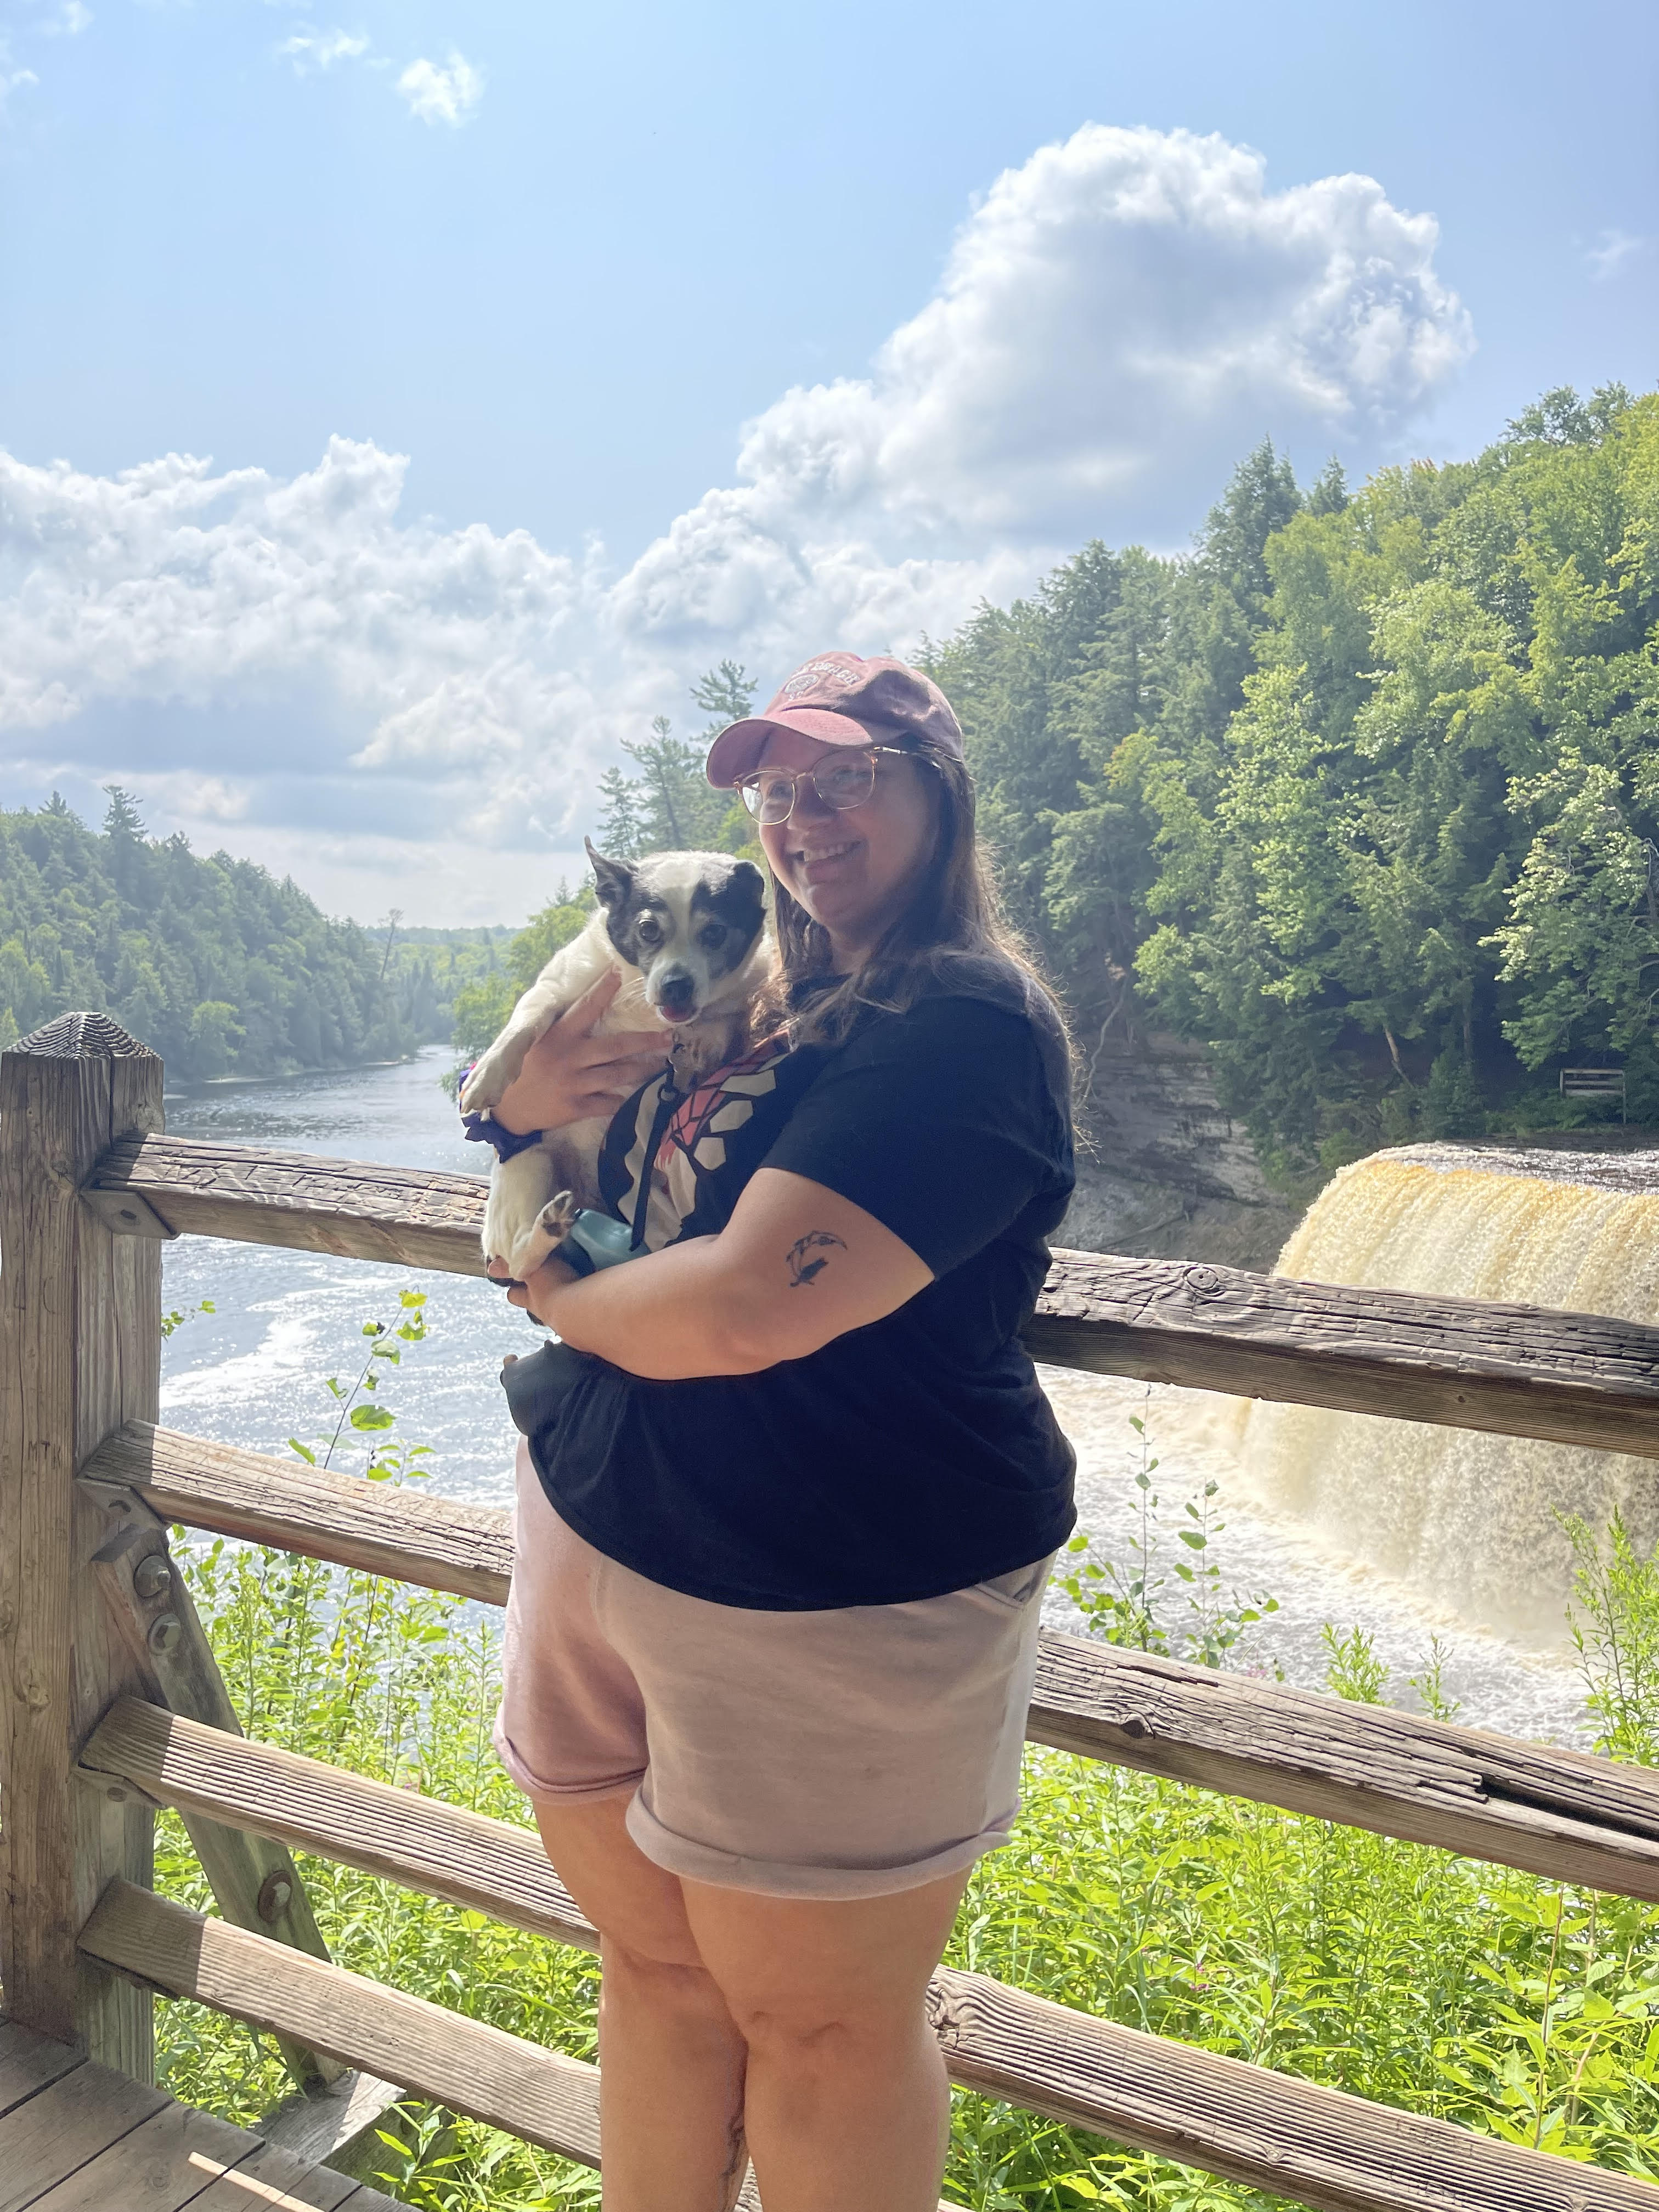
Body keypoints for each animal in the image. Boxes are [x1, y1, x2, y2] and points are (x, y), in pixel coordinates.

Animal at [462, 832, 774, 1283]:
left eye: (715, 933)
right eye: (648, 930)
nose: (677, 985)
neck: (641, 1006)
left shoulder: (735, 1004)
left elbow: (720, 1024)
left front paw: (700, 1041)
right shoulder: (558, 985)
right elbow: (528, 1019)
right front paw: (487, 1076)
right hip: (529, 1162)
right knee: (522, 1260)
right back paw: (545, 1231)